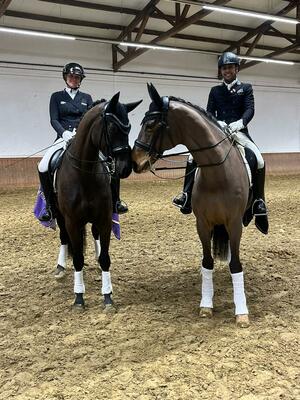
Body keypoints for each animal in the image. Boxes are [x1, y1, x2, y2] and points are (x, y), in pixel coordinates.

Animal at [54, 92, 142, 310]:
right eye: (111, 128)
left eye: (129, 127)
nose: (125, 167)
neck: (84, 173)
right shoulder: (72, 221)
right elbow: (77, 258)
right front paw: (78, 297)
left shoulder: (103, 218)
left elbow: (105, 258)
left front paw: (108, 296)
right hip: (60, 216)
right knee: (63, 238)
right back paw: (60, 267)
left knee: (94, 235)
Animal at [131, 83, 251, 326]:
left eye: (150, 125)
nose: (135, 161)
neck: (218, 173)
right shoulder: (202, 224)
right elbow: (207, 262)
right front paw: (206, 306)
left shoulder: (234, 224)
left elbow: (236, 265)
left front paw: (241, 312)